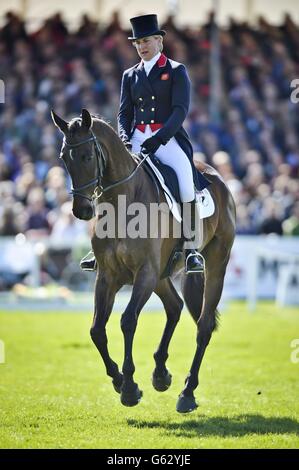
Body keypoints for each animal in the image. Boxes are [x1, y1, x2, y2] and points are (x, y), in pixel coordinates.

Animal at [52, 108, 237, 414]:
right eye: (64, 157)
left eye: (88, 156)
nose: (81, 210)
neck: (122, 201)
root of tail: (217, 179)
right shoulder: (108, 276)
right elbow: (96, 330)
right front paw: (119, 380)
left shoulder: (145, 273)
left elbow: (127, 321)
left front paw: (128, 387)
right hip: (161, 275)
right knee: (174, 307)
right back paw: (161, 374)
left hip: (214, 265)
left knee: (204, 326)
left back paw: (187, 393)